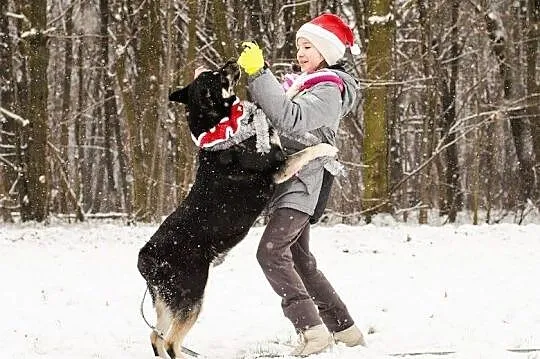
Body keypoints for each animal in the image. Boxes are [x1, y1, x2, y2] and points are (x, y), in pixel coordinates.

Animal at [137, 60, 336, 358]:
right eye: (217, 75)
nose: (231, 62)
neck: (223, 126)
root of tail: (146, 256)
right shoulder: (278, 169)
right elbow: (307, 151)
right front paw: (328, 149)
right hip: (191, 294)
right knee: (171, 341)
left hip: (166, 300)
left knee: (155, 336)